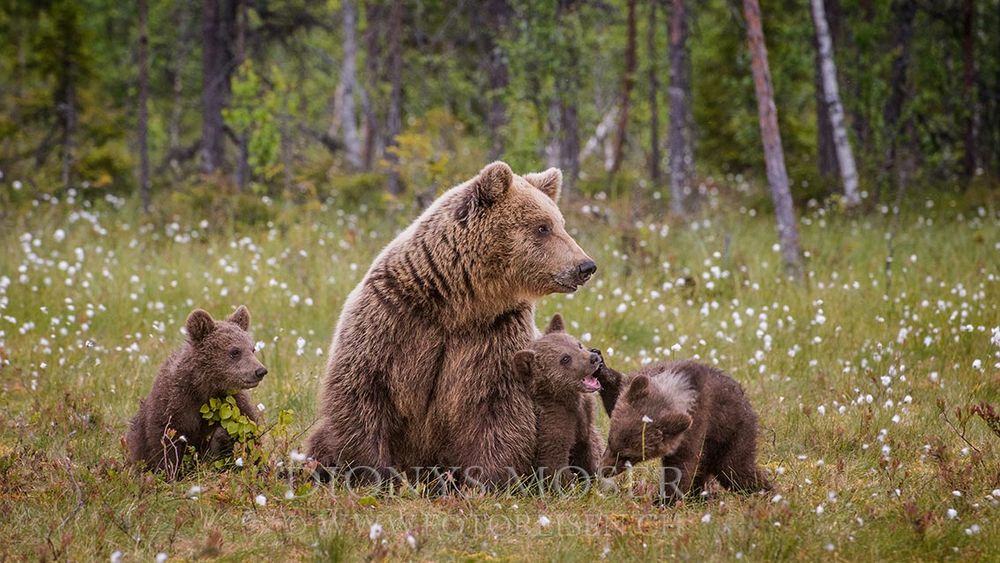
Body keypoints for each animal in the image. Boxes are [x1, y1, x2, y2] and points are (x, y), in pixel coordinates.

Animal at [306, 160, 592, 484]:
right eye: (543, 227)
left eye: (560, 223)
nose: (586, 266)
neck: (457, 303)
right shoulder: (394, 317)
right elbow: (363, 390)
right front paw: (373, 474)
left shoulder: (495, 333)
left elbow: (497, 407)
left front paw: (483, 480)